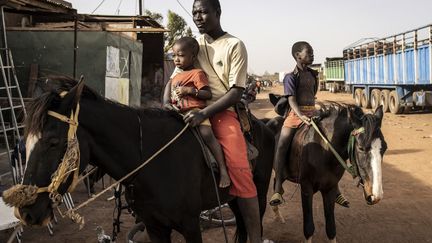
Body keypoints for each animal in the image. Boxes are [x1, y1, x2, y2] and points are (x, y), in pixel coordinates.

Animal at [2, 78, 274, 243]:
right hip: (233, 198)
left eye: (53, 142)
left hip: (257, 193)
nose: (25, 211)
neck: (153, 163)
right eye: (25, 143)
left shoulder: (190, 224)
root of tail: (264, 125)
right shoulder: (154, 227)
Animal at [266, 96, 384, 242]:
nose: (376, 195)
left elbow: (331, 228)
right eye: (361, 148)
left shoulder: (330, 188)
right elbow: (309, 228)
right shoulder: (306, 188)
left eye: (385, 148)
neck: (323, 149)